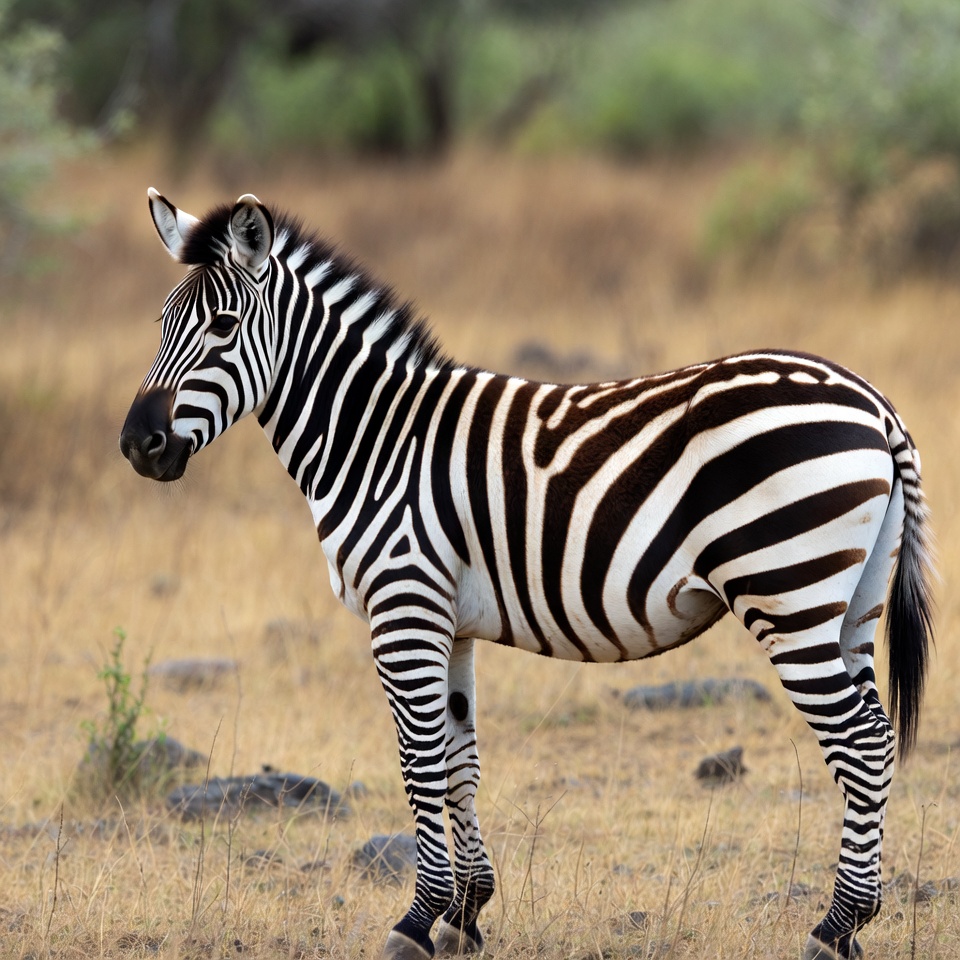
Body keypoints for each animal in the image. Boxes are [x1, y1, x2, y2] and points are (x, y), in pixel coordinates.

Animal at [120, 190, 933, 960]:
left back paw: (832, 928)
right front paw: (465, 915)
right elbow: (459, 762)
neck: (375, 439)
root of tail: (875, 404)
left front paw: (415, 921)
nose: (137, 445)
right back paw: (853, 926)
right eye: (161, 323)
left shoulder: (403, 605)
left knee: (861, 744)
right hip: (850, 605)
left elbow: (418, 763)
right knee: (877, 738)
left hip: (786, 592)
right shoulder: (449, 622)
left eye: (223, 326)